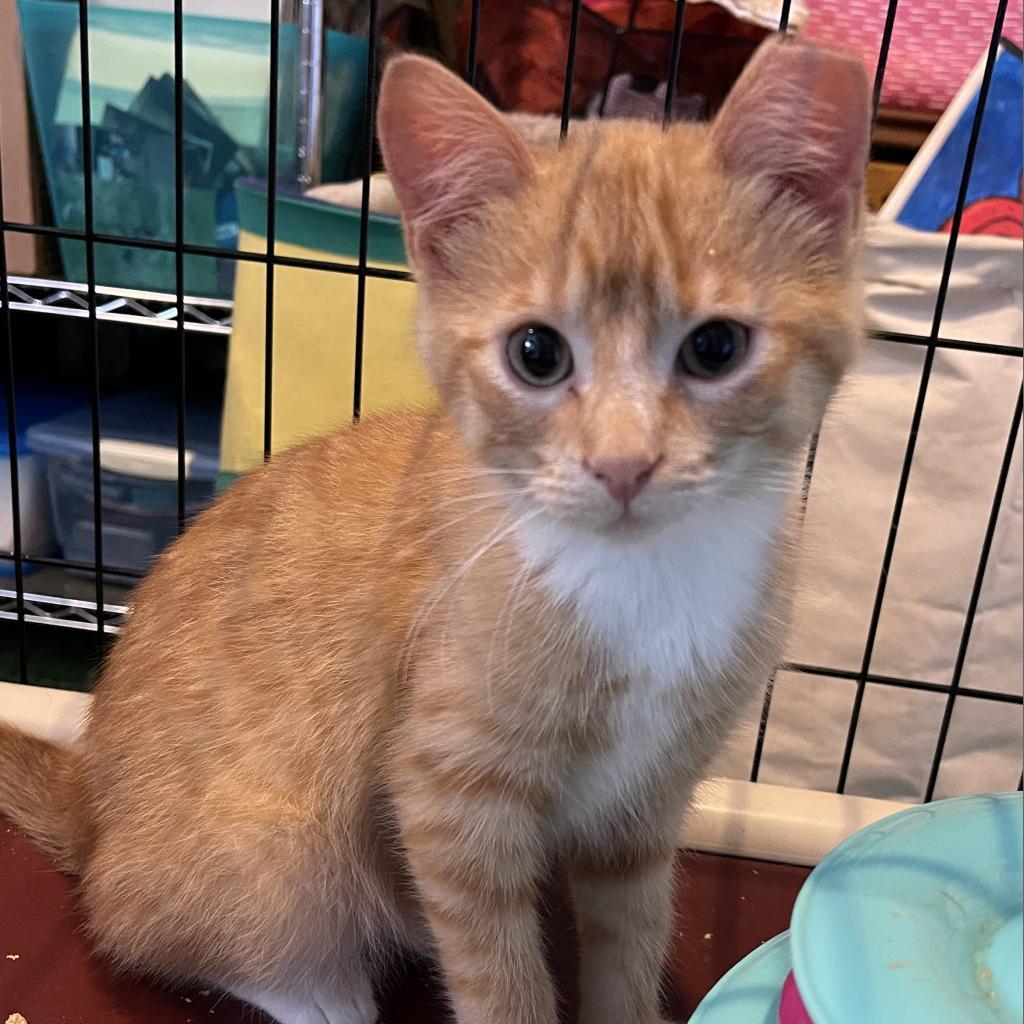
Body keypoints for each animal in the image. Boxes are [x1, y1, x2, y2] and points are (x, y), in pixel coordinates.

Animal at [0, 36, 868, 1024]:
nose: (623, 464)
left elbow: (630, 939)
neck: (647, 582)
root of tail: (89, 806)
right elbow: (498, 976)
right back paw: (324, 994)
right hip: (279, 859)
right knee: (165, 926)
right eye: (537, 354)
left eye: (716, 348)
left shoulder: (644, 807)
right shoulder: (447, 793)